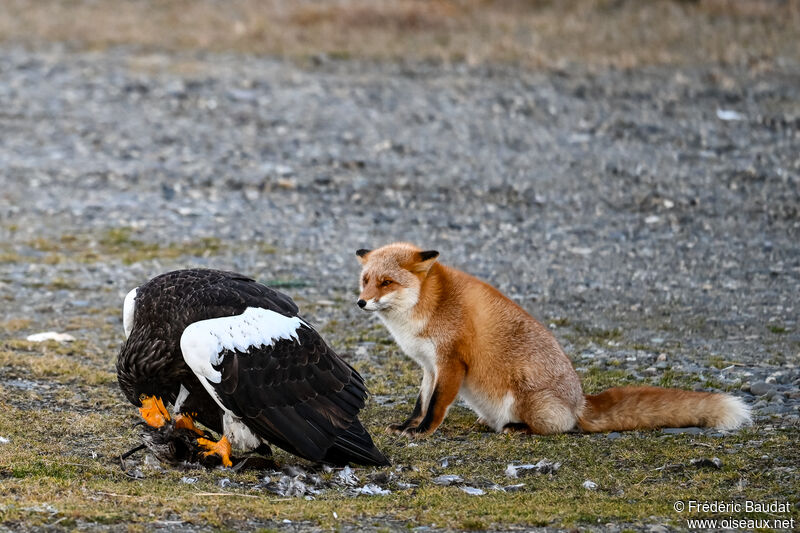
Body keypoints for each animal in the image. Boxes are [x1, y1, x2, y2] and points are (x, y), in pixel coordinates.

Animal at [356, 242, 752, 436]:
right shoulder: (428, 365)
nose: (361, 302)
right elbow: (420, 403)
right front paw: (407, 426)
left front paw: (423, 433)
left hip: (526, 396)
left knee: (557, 429)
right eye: (366, 280)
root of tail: (581, 402)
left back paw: (515, 428)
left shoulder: (451, 362)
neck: (428, 304)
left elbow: (436, 406)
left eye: (387, 283)